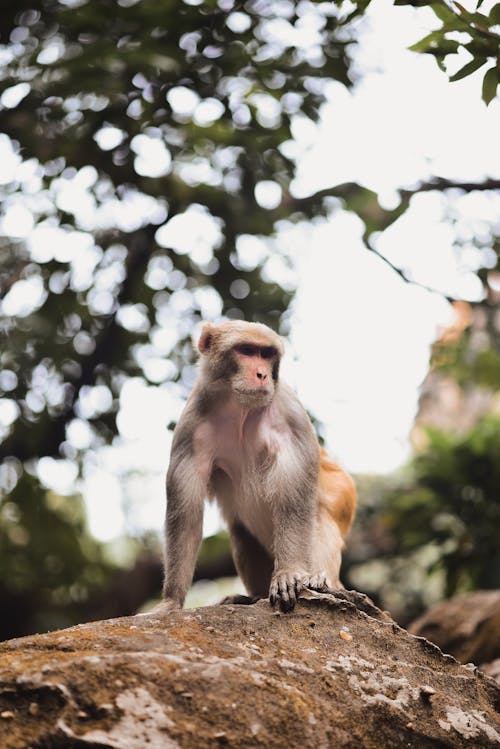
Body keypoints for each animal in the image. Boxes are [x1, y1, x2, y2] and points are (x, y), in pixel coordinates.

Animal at [160, 318, 356, 612]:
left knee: (319, 513)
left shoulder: (291, 415)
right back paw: (252, 597)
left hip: (343, 497)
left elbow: (294, 501)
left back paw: (319, 581)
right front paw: (171, 601)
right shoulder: (190, 426)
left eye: (266, 354)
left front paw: (288, 573)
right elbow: (187, 516)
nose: (262, 374)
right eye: (246, 350)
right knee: (241, 532)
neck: (239, 408)